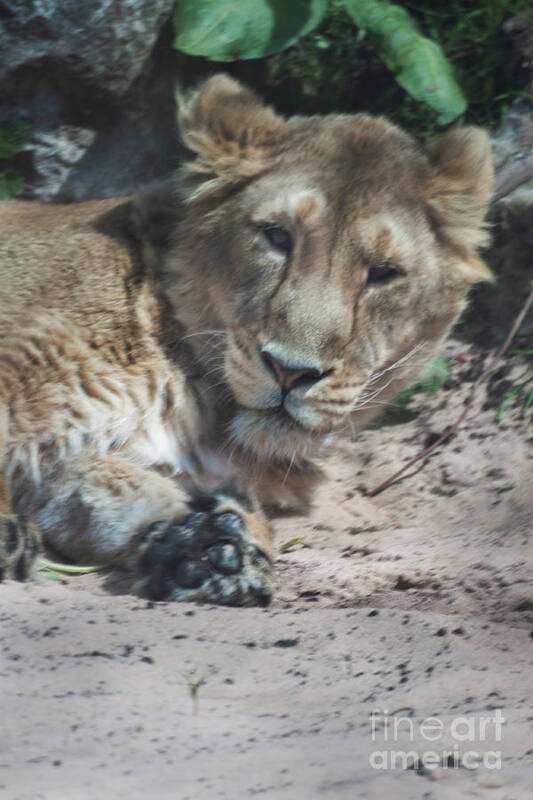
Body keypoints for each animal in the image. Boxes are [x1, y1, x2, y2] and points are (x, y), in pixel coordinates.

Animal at [0, 76, 490, 608]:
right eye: (277, 236)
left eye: (383, 273)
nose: (293, 372)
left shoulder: (66, 464)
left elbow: (98, 492)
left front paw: (212, 547)